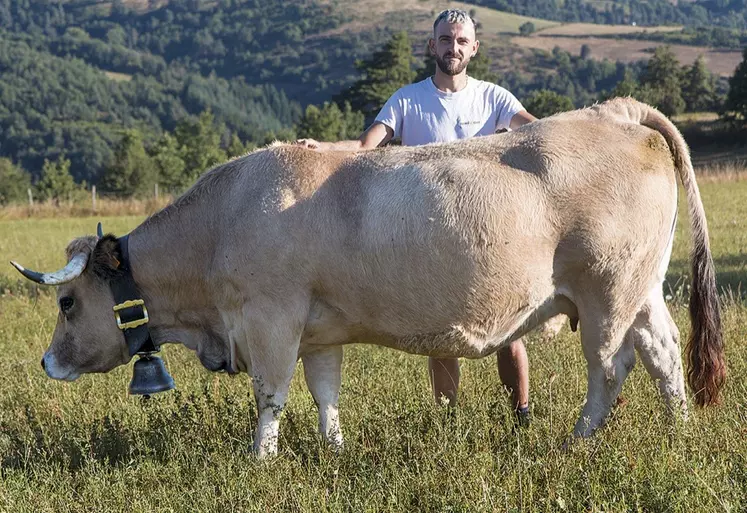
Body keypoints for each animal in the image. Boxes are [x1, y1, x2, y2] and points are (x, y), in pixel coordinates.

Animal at [11, 97, 724, 456]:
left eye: (68, 302)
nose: (46, 363)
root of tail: (613, 111)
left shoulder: (270, 319)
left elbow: (270, 395)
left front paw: (260, 460)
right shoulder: (317, 332)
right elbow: (324, 391)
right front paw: (332, 451)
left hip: (607, 293)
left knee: (609, 367)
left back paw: (577, 443)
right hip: (642, 291)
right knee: (662, 354)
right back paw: (678, 432)